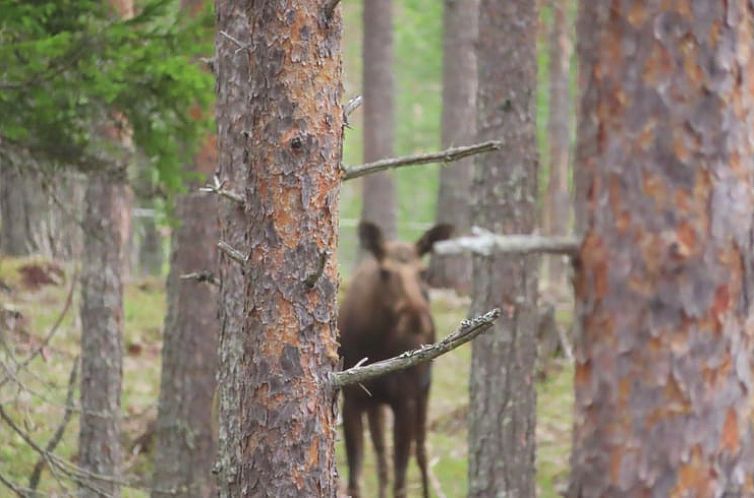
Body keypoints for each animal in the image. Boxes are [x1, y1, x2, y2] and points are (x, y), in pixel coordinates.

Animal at [340, 222, 452, 498]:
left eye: (423, 271)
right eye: (385, 271)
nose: (416, 318)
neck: (376, 344)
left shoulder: (405, 400)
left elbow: (401, 481)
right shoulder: (352, 400)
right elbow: (355, 481)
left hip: (424, 392)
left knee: (421, 453)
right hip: (377, 404)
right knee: (382, 459)